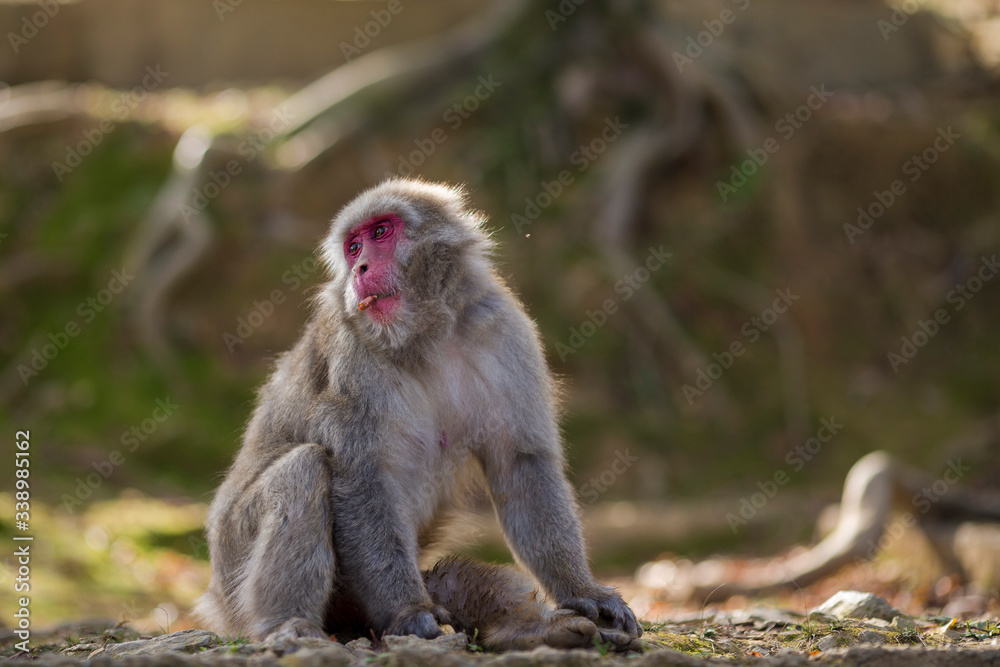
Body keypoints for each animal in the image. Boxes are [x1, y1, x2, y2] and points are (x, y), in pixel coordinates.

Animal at [195, 178, 643, 652]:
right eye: (353, 247)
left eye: (380, 233)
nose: (361, 268)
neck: (429, 335)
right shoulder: (353, 356)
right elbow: (363, 477)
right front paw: (409, 611)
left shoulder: (505, 331)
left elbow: (521, 465)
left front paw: (583, 592)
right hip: (233, 563)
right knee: (304, 468)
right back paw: (288, 624)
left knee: (451, 578)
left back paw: (535, 629)